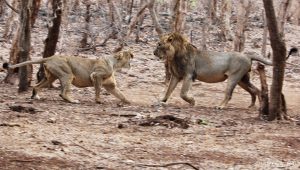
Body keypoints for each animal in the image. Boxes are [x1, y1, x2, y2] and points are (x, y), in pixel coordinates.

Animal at [2, 50, 134, 103]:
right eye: (128, 54)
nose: (133, 54)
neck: (115, 64)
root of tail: (50, 57)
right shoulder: (96, 75)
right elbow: (98, 90)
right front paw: (98, 101)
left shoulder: (111, 86)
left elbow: (121, 95)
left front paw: (130, 102)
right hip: (67, 74)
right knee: (63, 93)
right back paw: (73, 100)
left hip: (50, 77)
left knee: (36, 86)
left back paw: (36, 96)